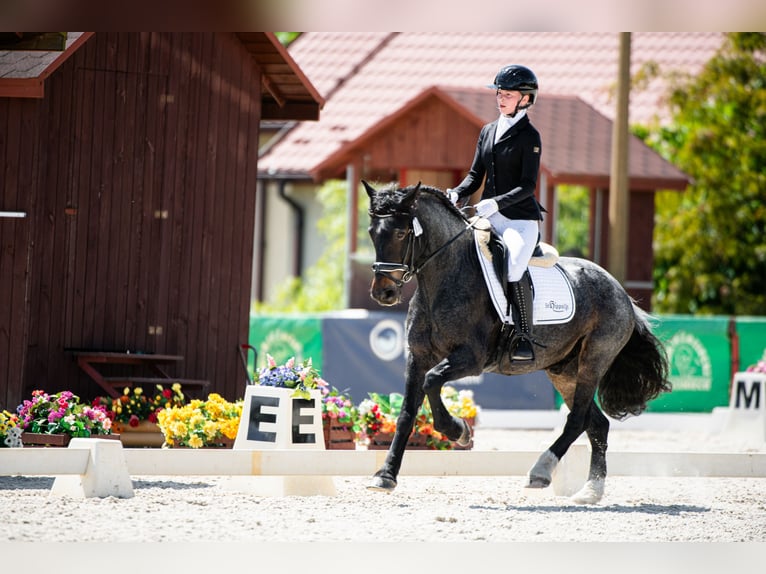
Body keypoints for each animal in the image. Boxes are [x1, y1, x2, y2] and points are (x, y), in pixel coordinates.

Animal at [366, 182, 672, 506]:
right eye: (372, 232)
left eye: (401, 233)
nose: (383, 293)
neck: (444, 278)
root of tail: (620, 292)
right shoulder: (418, 356)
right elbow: (406, 414)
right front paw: (385, 476)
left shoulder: (471, 358)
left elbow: (433, 381)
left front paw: (459, 430)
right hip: (564, 372)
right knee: (597, 424)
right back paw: (591, 490)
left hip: (594, 361)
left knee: (577, 420)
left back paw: (541, 471)